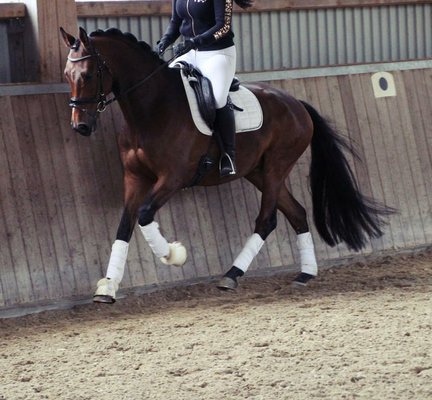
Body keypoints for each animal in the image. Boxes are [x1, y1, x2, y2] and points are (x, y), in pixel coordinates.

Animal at [60, 27, 394, 303]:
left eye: (87, 74)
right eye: (66, 74)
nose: (80, 127)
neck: (153, 109)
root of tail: (296, 103)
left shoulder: (173, 178)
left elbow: (144, 216)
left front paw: (174, 255)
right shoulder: (134, 178)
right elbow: (125, 226)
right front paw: (108, 287)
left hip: (276, 167)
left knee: (267, 220)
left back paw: (231, 275)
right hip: (257, 172)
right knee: (297, 213)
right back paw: (305, 274)